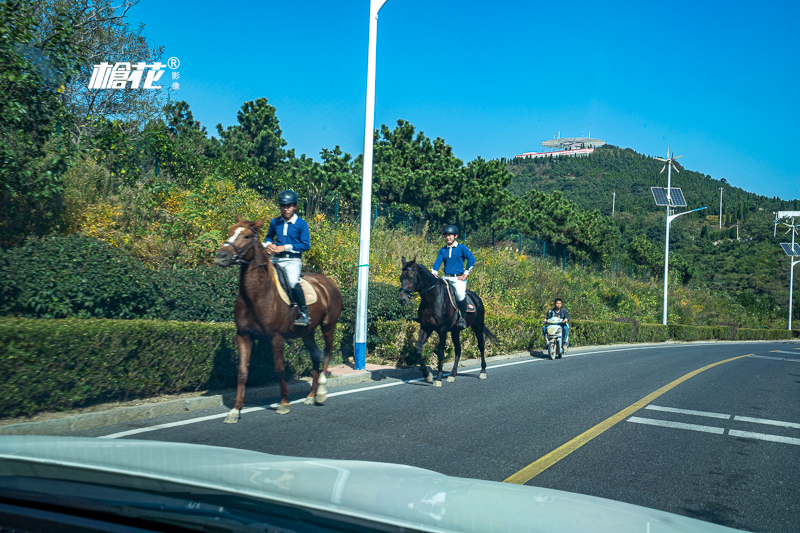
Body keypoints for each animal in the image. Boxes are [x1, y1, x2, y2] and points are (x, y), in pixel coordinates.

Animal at [214, 215, 342, 420]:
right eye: (230, 231)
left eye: (247, 236)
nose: (221, 256)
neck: (257, 294)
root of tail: (329, 283)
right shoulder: (243, 336)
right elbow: (242, 372)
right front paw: (235, 410)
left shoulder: (276, 338)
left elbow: (279, 370)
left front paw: (284, 403)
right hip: (307, 332)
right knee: (315, 356)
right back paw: (311, 395)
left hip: (328, 325)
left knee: (327, 352)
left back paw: (321, 392)